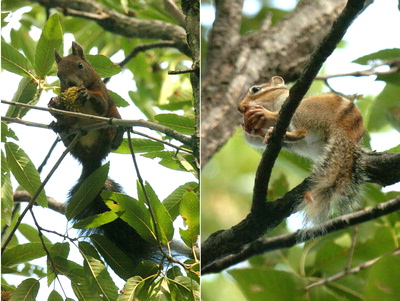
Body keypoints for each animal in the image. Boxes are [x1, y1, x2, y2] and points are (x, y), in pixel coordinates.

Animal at [49, 41, 162, 264]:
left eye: (80, 65)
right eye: (58, 74)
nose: (71, 83)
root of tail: (92, 160)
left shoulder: (102, 90)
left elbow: (100, 103)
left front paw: (86, 94)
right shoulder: (71, 114)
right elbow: (68, 118)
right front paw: (54, 105)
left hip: (109, 124)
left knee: (111, 128)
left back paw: (118, 135)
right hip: (73, 142)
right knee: (67, 132)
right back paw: (58, 127)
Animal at [238, 76, 366, 224]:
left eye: (256, 89)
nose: (240, 108)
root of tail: (347, 132)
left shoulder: (286, 103)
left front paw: (264, 115)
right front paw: (256, 131)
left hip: (302, 111)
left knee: (302, 132)